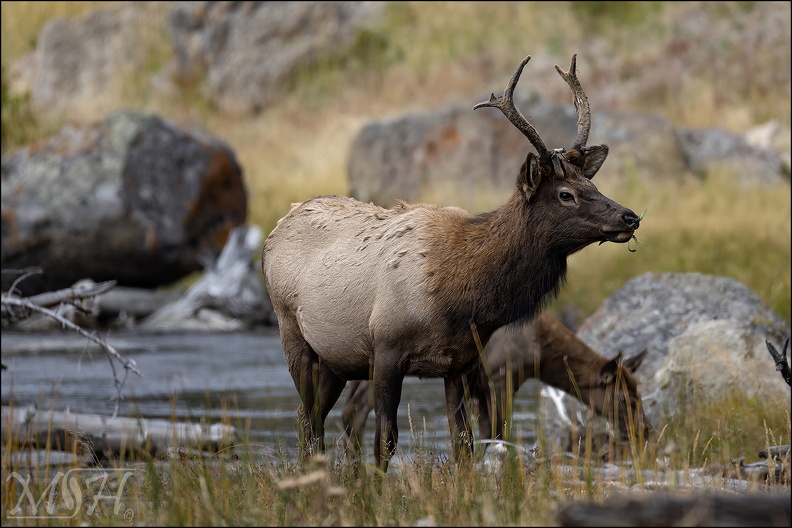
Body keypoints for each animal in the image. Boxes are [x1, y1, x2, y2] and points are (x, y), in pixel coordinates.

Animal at [340, 312, 650, 459]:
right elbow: (496, 431)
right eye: (624, 399)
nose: (644, 431)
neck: (541, 356)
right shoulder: (501, 376)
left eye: (639, 392)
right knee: (356, 409)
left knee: (350, 410)